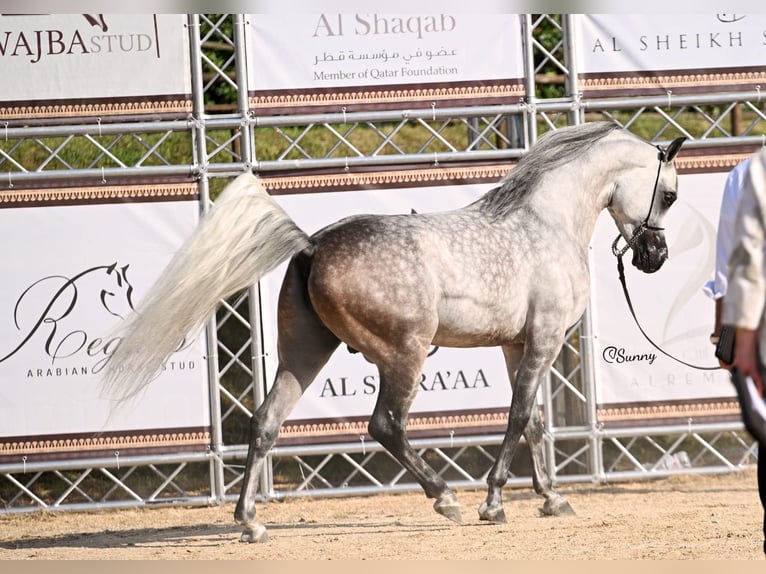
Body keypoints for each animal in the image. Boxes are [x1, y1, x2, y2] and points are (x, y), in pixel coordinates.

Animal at [103, 121, 688, 544]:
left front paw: (553, 499)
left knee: (266, 422)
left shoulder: (516, 344)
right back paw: (445, 498)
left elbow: (536, 420)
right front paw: (494, 503)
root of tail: (313, 245)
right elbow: (519, 416)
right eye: (670, 195)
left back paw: (251, 523)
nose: (656, 257)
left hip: (305, 354)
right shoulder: (543, 340)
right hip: (404, 353)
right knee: (386, 425)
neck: (544, 224)